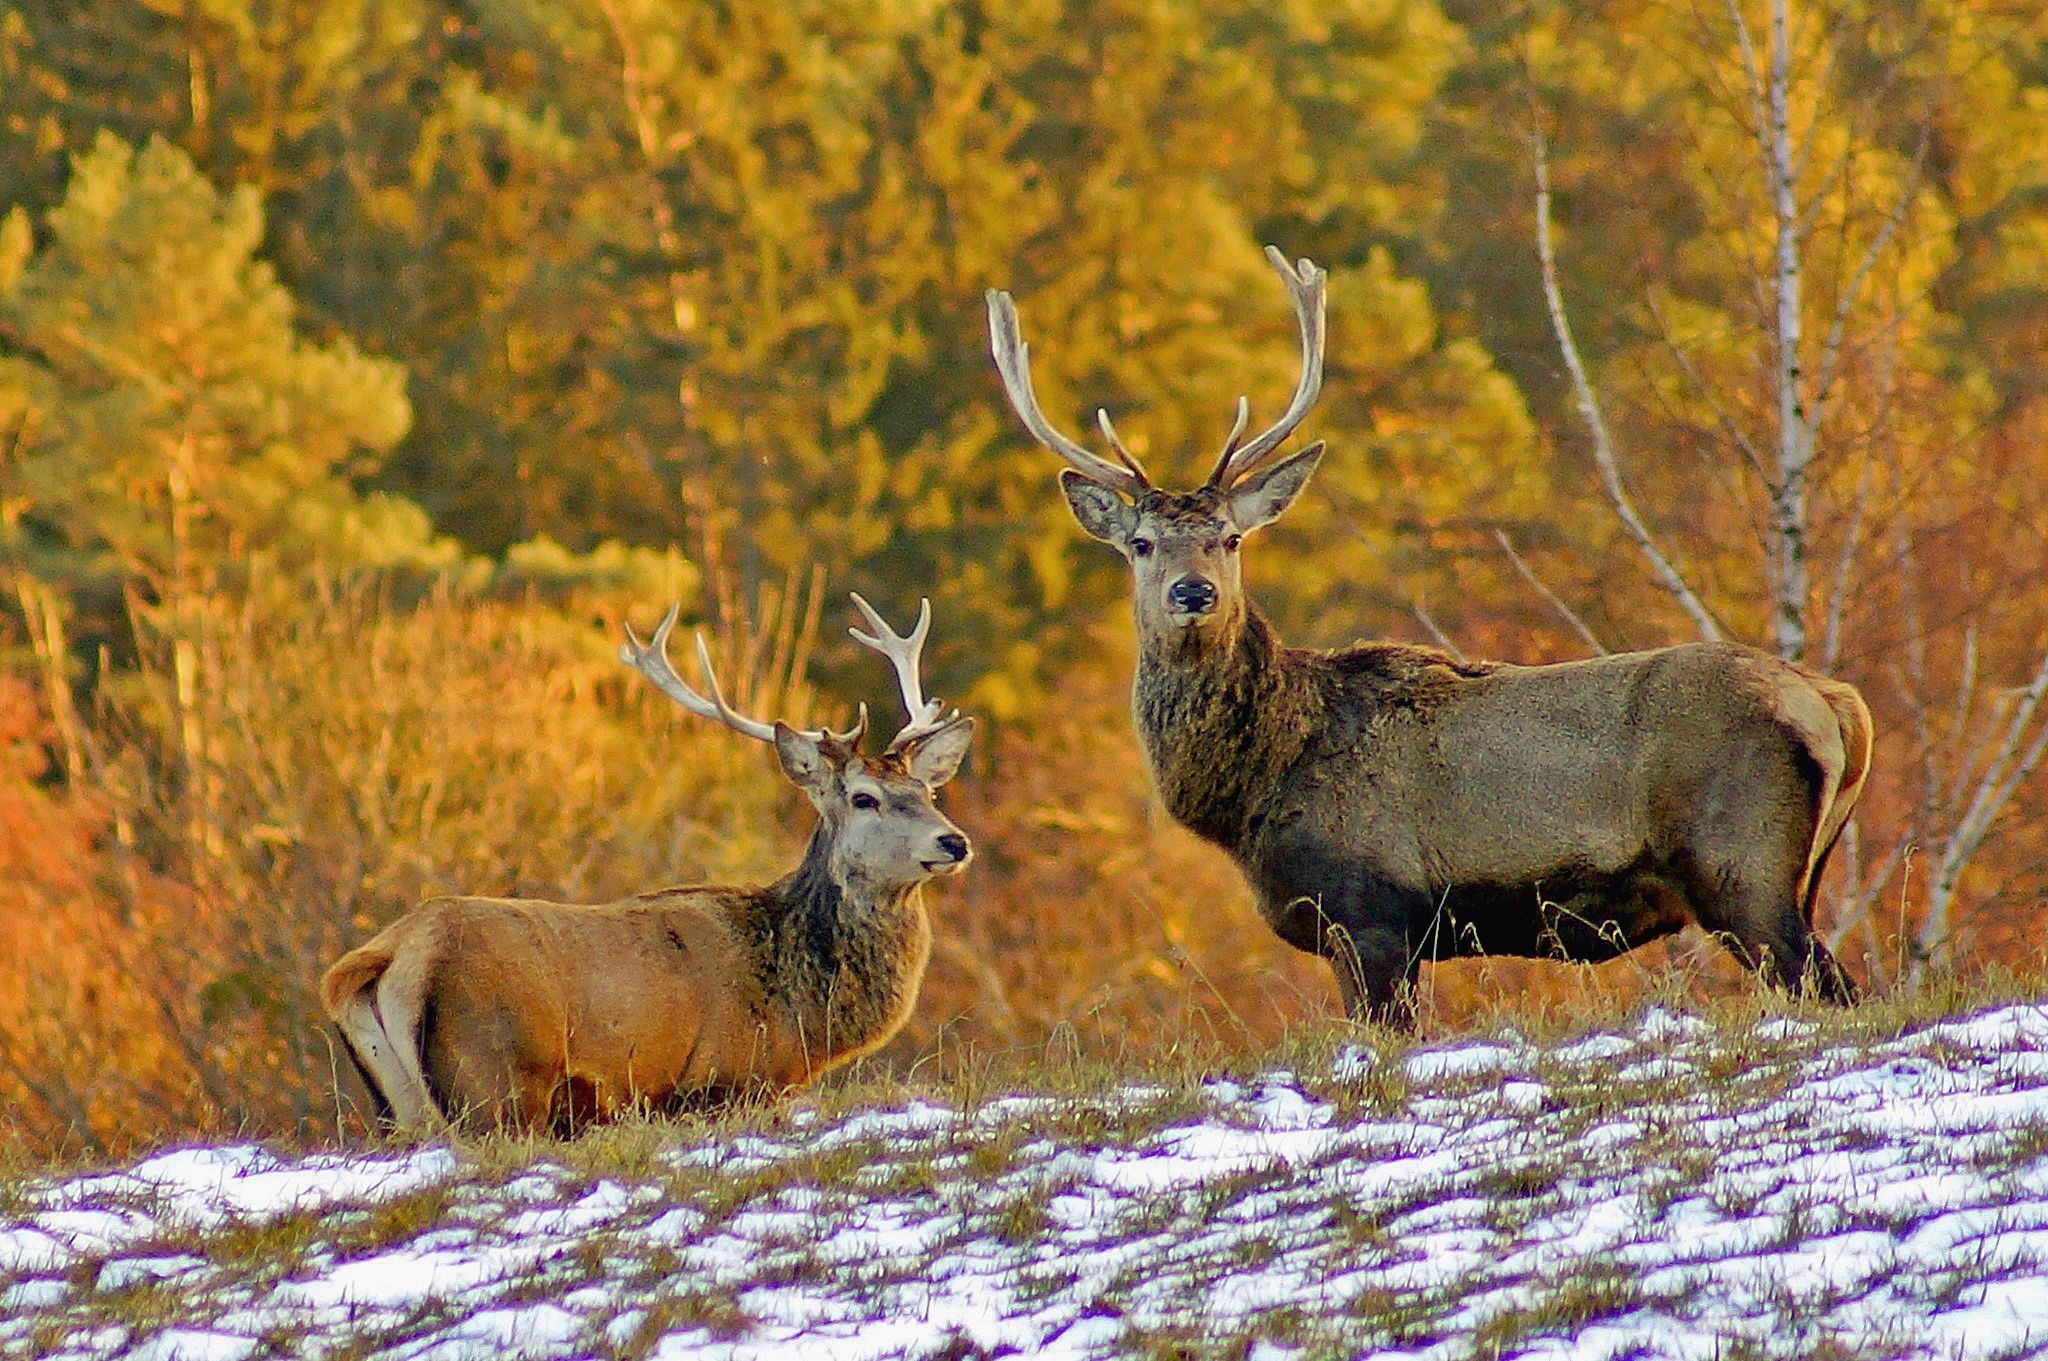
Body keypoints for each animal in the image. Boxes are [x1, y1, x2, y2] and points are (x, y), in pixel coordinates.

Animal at [319, 589, 974, 1129]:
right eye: (864, 798)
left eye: (928, 792)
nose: (954, 842)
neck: (802, 1011)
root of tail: (389, 953)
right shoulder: (727, 1083)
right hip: (494, 1079)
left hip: (404, 1107)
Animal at [987, 249, 1875, 1023]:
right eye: (1141, 543)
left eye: (1230, 538)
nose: (1193, 591)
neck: (1258, 785)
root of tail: (1836, 703)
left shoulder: (1372, 913)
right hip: (1794, 874)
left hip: (1742, 868)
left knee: (1835, 989)